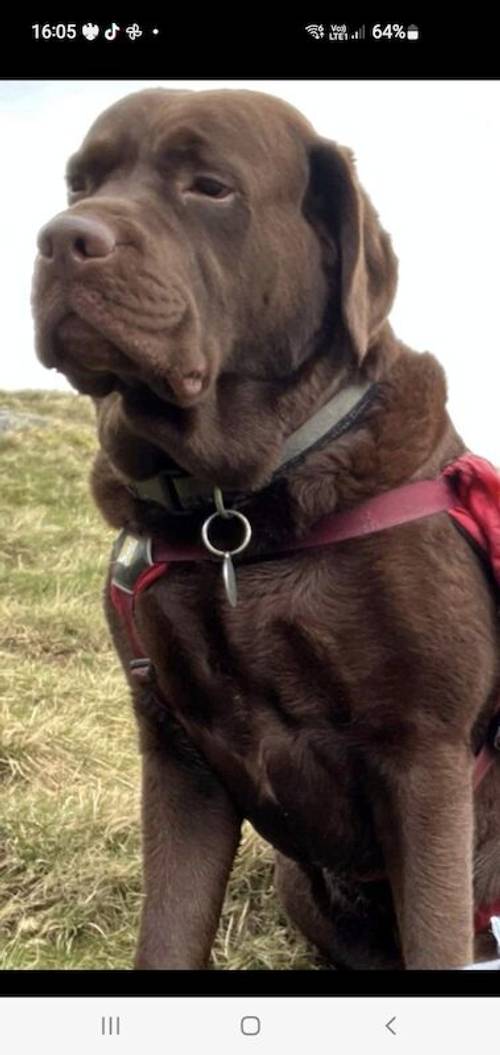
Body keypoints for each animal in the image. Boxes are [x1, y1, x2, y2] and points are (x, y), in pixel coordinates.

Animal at [32, 86, 500, 966]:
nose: (61, 239)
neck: (236, 517)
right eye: (80, 183)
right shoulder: (177, 755)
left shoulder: (425, 755)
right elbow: (167, 935)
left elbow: (435, 931)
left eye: (210, 187)